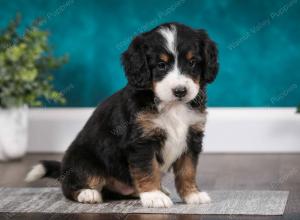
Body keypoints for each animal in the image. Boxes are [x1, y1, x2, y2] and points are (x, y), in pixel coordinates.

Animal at [25, 22, 218, 208]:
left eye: (192, 62)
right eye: (161, 65)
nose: (180, 91)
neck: (172, 106)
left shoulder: (192, 137)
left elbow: (188, 170)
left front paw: (192, 194)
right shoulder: (141, 142)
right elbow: (147, 169)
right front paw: (153, 196)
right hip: (84, 160)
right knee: (72, 185)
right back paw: (88, 193)